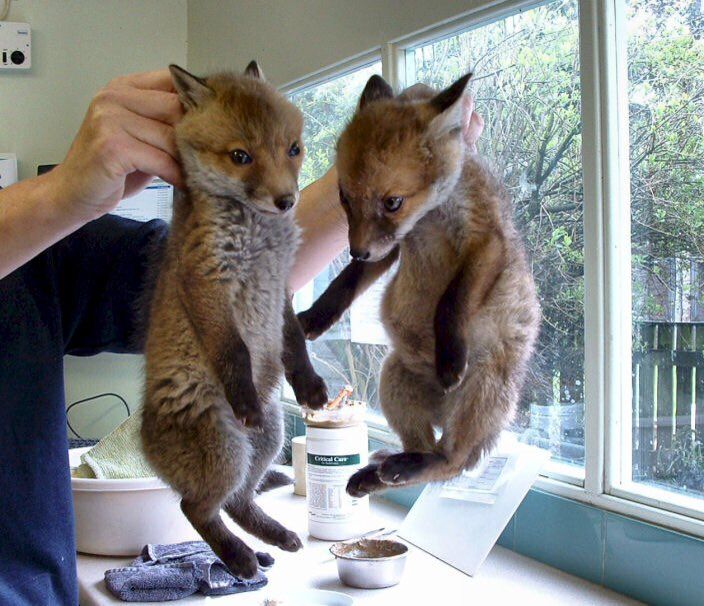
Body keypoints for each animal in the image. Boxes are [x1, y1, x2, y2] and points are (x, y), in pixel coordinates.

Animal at [140, 62, 328, 579]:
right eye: (240, 156)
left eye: (293, 149)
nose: (287, 200)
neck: (258, 233)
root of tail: (143, 445)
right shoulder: (207, 282)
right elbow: (234, 350)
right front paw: (243, 392)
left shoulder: (281, 287)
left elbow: (294, 341)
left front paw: (308, 384)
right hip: (227, 448)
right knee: (195, 507)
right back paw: (239, 557)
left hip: (268, 438)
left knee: (238, 501)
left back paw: (273, 536)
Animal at [297, 74, 541, 496]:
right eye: (344, 197)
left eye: (393, 201)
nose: (356, 251)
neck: (427, 219)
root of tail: (442, 414)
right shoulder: (388, 247)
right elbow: (344, 284)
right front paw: (316, 317)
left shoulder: (485, 241)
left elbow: (451, 302)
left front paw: (450, 357)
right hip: (393, 379)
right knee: (417, 450)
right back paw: (377, 473)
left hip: (478, 392)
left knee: (451, 463)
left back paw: (412, 463)